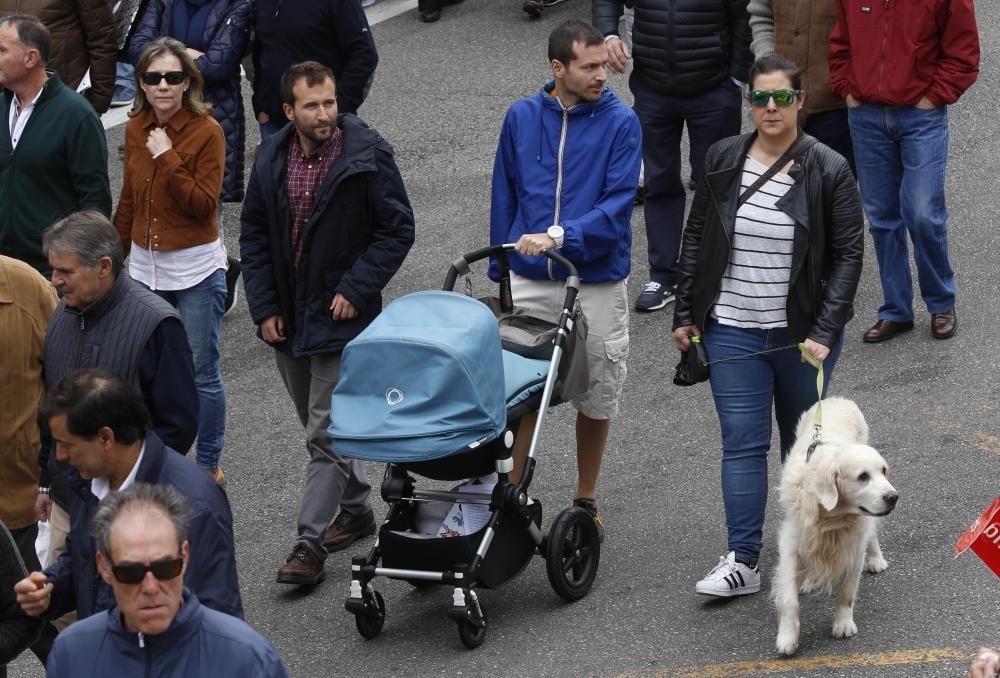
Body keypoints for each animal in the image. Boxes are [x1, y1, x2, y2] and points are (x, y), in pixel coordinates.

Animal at [772, 398, 900, 660]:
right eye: (862, 476)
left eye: (883, 471)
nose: (893, 497)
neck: (831, 517)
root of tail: (836, 399)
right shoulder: (791, 543)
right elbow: (789, 600)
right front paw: (787, 638)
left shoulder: (854, 546)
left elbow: (847, 592)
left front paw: (843, 624)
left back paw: (876, 559)